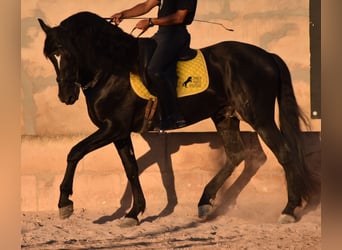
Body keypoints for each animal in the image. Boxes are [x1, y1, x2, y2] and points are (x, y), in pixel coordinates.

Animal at [37, 11, 316, 226]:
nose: (66, 96)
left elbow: (74, 152)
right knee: (236, 154)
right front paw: (133, 213)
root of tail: (267, 56)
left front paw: (65, 203)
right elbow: (131, 169)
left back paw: (288, 211)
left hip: (259, 117)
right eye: (52, 57)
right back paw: (205, 202)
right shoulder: (120, 132)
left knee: (284, 153)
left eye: (68, 53)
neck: (113, 69)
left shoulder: (113, 128)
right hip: (225, 116)